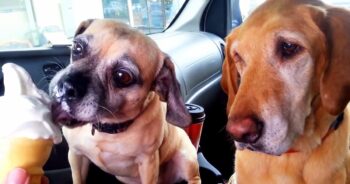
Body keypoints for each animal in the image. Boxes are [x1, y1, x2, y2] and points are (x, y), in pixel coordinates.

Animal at [49, 19, 200, 183]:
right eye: (77, 47)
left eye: (123, 76)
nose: (66, 87)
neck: (107, 129)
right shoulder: (76, 156)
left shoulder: (148, 163)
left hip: (186, 158)